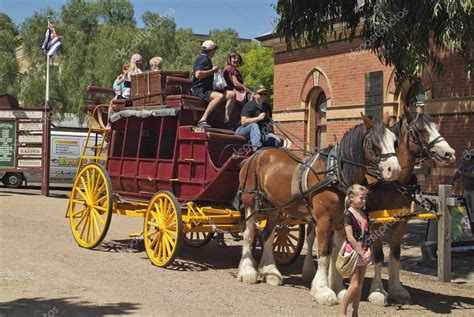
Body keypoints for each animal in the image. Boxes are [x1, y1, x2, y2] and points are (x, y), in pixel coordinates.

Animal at [237, 114, 400, 304]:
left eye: (395, 141)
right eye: (374, 142)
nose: (395, 170)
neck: (335, 174)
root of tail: (256, 154)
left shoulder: (341, 221)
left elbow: (336, 254)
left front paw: (338, 288)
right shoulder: (324, 220)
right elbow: (323, 254)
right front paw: (323, 291)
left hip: (275, 207)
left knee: (268, 236)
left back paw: (270, 272)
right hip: (250, 201)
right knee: (248, 234)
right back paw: (248, 271)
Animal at [366, 105, 456, 304]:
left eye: (436, 126)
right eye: (422, 130)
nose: (450, 153)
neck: (392, 182)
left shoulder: (401, 221)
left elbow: (395, 254)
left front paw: (397, 290)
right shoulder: (375, 222)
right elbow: (379, 256)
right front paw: (377, 291)